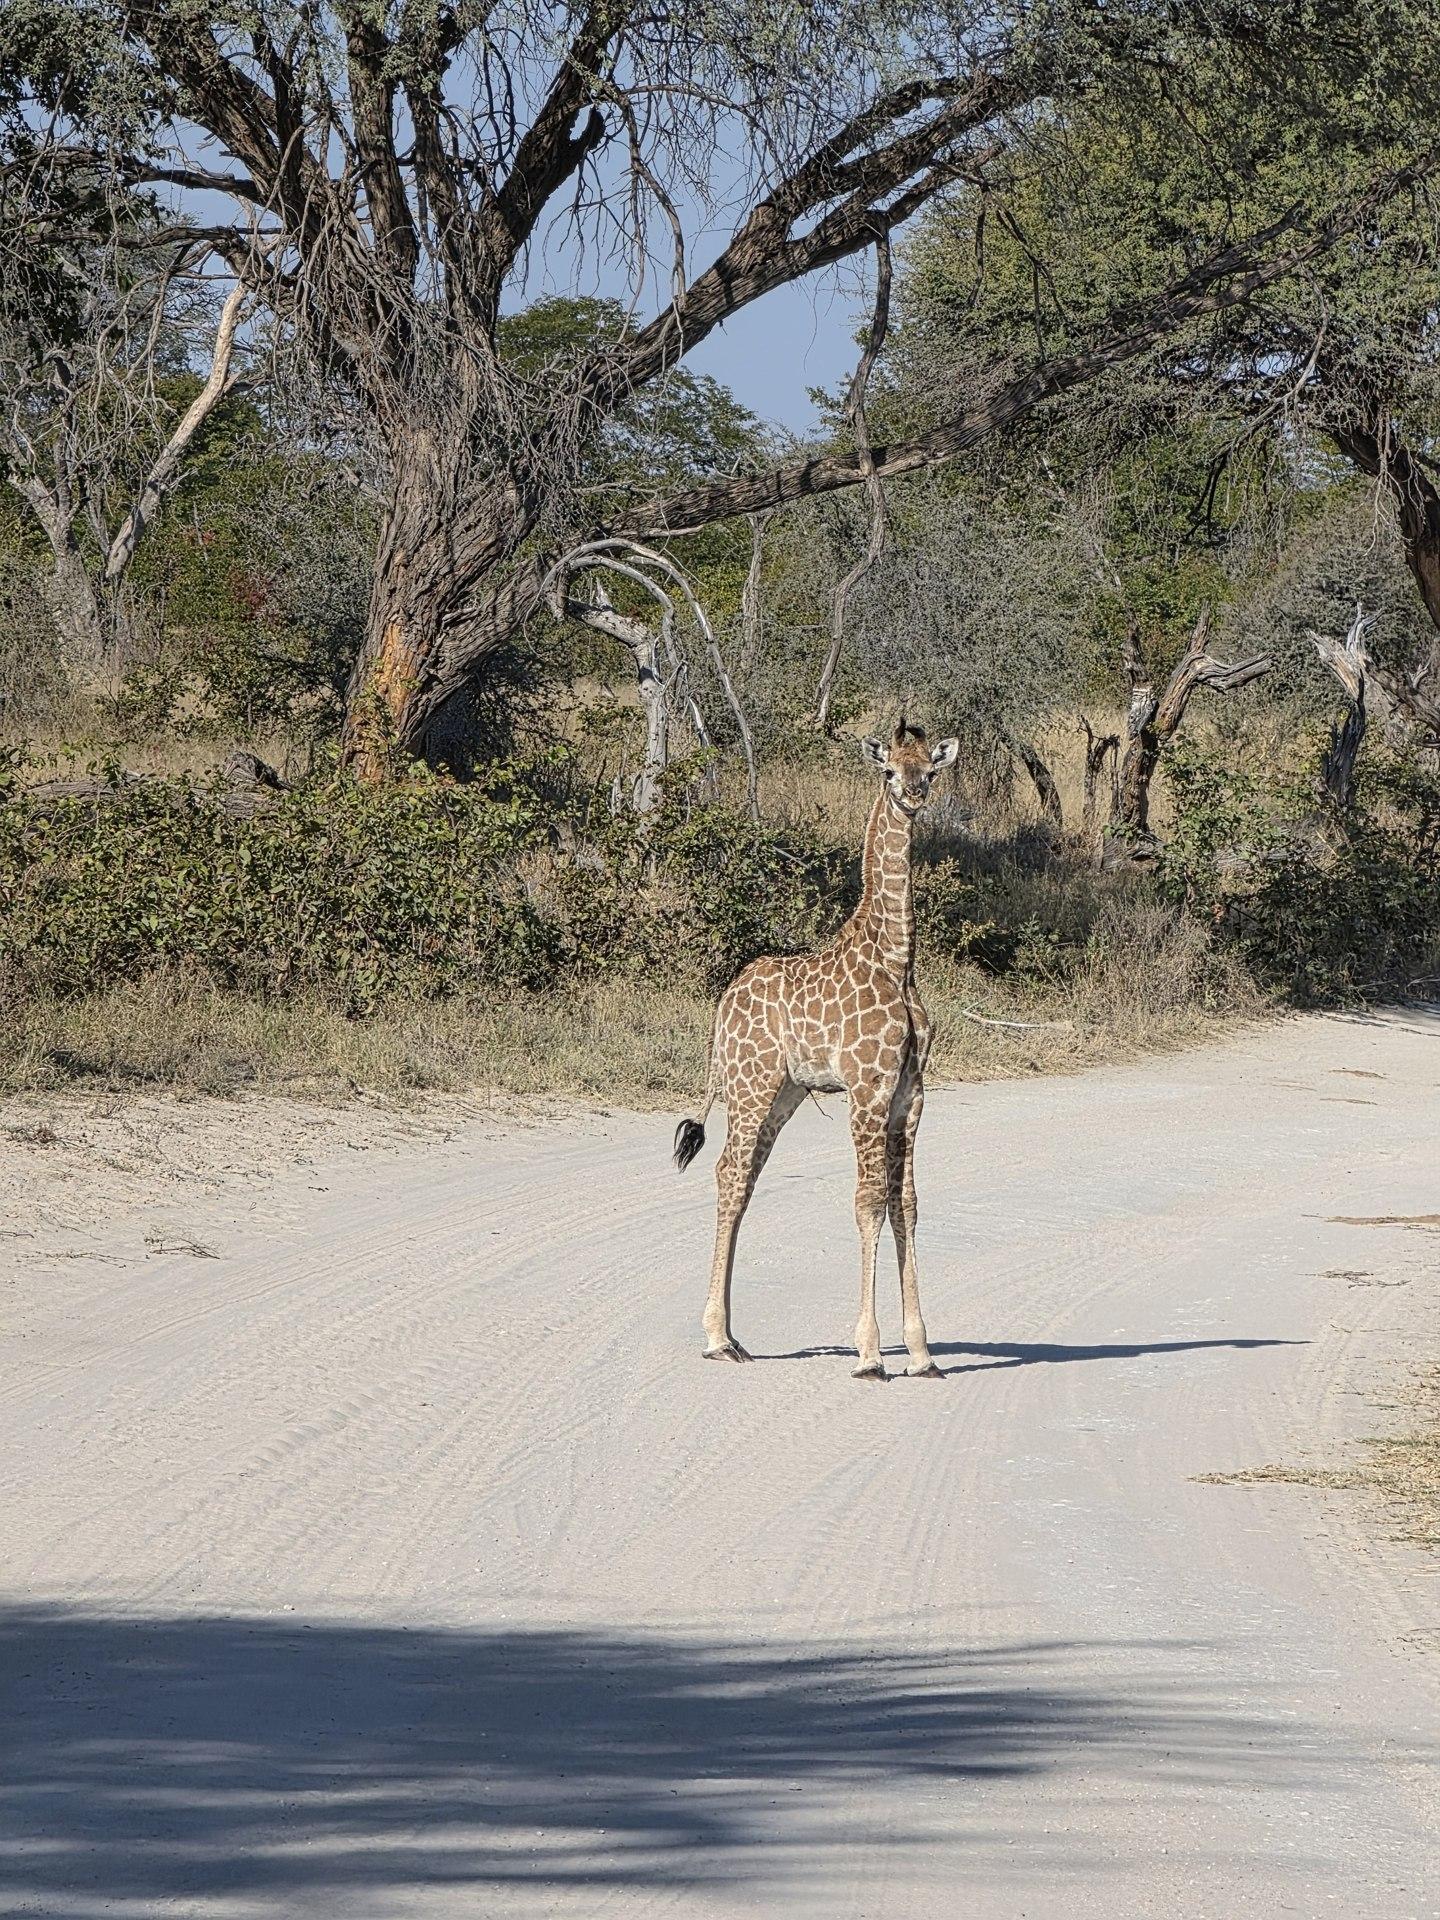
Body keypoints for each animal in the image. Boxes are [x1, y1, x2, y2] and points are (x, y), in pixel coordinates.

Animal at [674, 719, 959, 1380]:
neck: (898, 958)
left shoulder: (912, 1095)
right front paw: (870, 1353)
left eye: (930, 769)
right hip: (750, 1083)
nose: (913, 794)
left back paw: (732, 1335)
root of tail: (723, 1003)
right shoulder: (867, 1089)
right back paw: (715, 1337)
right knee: (729, 1173)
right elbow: (869, 1203)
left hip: (783, 1093)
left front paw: (922, 1352)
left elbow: (907, 1205)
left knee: (741, 1179)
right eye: (890, 770)